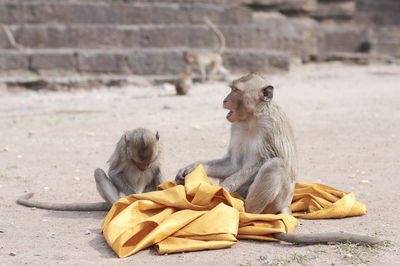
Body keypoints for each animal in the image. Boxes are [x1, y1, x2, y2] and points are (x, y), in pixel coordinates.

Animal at [17, 128, 161, 211]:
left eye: (147, 163)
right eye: (137, 162)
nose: (143, 168)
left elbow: (157, 170)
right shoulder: (122, 151)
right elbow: (113, 173)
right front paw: (135, 198)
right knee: (98, 172)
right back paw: (118, 206)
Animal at [176, 72, 382, 245]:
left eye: (235, 90)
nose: (224, 100)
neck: (252, 118)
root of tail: (286, 204)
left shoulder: (270, 126)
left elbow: (266, 160)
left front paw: (224, 188)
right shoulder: (235, 127)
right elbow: (233, 164)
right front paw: (190, 168)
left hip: (275, 201)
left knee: (275, 165)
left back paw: (247, 214)